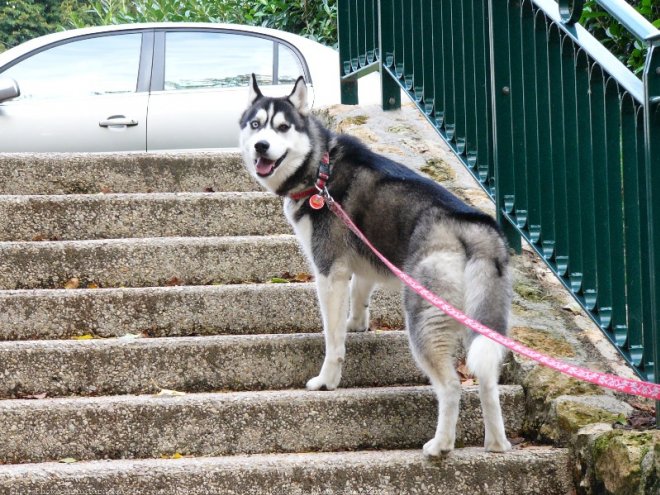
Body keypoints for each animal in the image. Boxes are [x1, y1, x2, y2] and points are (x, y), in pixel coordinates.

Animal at [240, 75, 512, 456]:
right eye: (255, 124)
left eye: (282, 127)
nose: (261, 146)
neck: (320, 168)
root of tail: (473, 226)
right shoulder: (360, 257)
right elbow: (359, 293)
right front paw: (357, 324)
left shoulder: (329, 270)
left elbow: (333, 339)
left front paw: (327, 380)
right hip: (483, 322)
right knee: (487, 380)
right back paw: (496, 443)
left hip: (424, 318)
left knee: (452, 386)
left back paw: (441, 445)